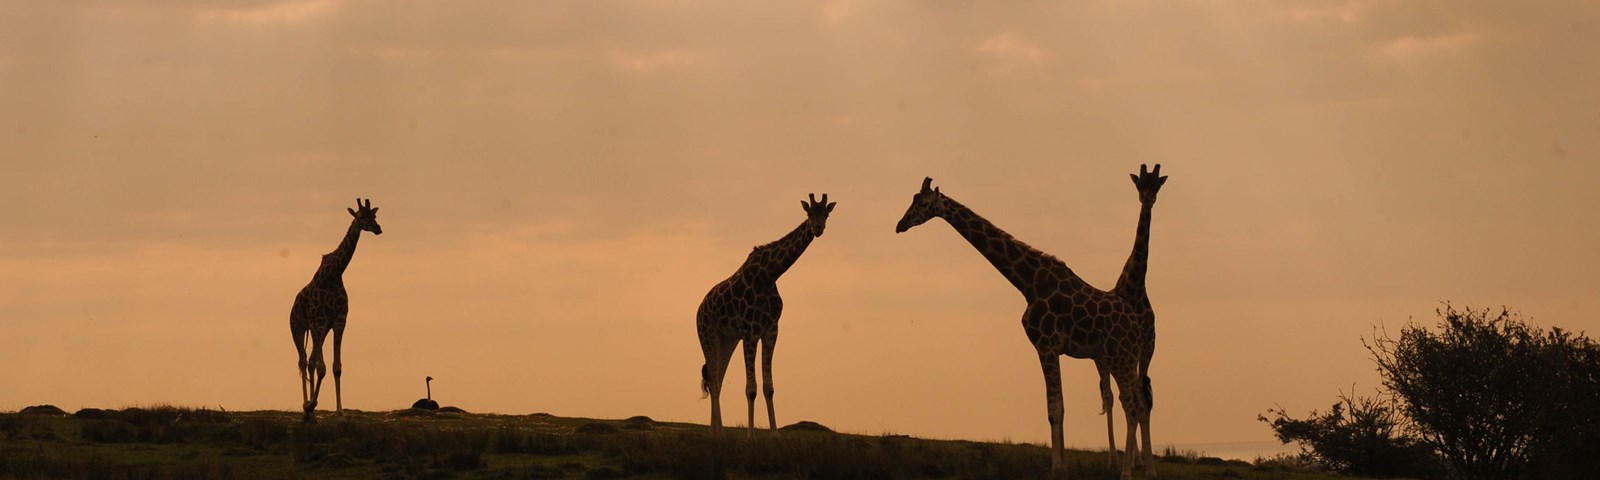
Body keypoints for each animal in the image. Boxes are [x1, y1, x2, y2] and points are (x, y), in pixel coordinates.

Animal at [290, 198, 382, 423]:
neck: (334, 273)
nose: (378, 228)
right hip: (298, 327)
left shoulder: (339, 321)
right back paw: (306, 408)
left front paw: (340, 413)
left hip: (320, 331)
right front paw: (310, 404)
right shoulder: (319, 320)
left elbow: (336, 368)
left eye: (375, 215)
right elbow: (322, 368)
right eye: (361, 216)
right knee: (303, 361)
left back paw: (312, 413)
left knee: (310, 362)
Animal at [697, 193, 835, 437]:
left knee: (716, 380)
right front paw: (751, 437)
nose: (817, 228)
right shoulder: (750, 331)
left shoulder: (771, 330)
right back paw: (717, 434)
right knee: (713, 379)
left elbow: (768, 387)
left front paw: (775, 435)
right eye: (809, 213)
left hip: (727, 339)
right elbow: (751, 389)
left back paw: (717, 433)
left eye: (825, 214)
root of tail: (699, 310)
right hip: (708, 335)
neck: (770, 274)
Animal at [895, 176, 1159, 479]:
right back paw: (1145, 469)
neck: (1028, 282)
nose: (900, 224)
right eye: (913, 199)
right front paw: (1062, 465)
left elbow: (1054, 409)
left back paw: (1127, 471)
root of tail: (1135, 324)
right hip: (1123, 358)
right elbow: (1059, 406)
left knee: (1133, 404)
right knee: (1138, 402)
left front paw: (1057, 468)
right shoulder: (1053, 349)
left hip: (1120, 356)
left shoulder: (1046, 344)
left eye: (923, 203)